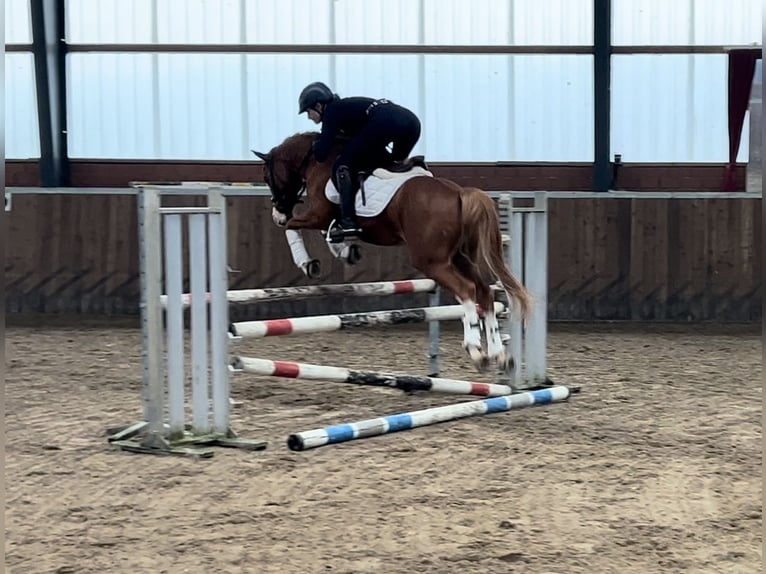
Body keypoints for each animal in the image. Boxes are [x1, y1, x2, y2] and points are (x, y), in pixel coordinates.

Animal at [254, 130, 536, 374]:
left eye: (268, 177)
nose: (277, 213)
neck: (318, 161)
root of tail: (460, 193)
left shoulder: (318, 214)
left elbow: (292, 228)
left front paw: (307, 262)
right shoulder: (325, 219)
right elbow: (327, 233)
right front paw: (345, 250)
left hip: (431, 261)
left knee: (466, 290)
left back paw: (476, 350)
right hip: (457, 258)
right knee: (484, 292)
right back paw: (500, 355)